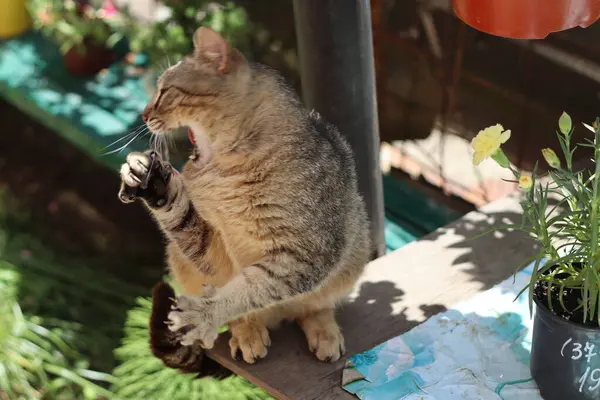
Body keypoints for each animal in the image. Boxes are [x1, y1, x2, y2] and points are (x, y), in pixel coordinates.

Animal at [118, 26, 370, 368]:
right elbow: (227, 277)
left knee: (313, 305)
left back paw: (323, 330)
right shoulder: (214, 250)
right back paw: (248, 332)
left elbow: (251, 289)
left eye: (164, 91)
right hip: (179, 259)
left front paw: (205, 314)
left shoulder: (307, 255)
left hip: (354, 253)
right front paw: (154, 183)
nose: (144, 115)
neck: (230, 172)